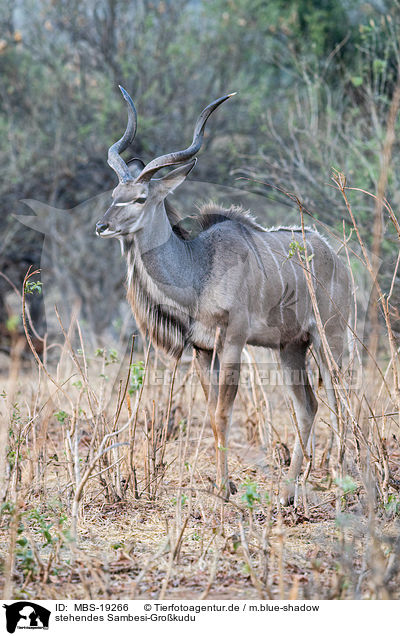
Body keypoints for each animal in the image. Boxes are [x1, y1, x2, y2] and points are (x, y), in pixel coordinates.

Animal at [96, 87, 350, 502]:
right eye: (116, 191)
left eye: (140, 198)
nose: (102, 226)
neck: (199, 268)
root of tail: (335, 255)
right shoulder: (203, 350)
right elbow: (212, 411)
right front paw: (224, 484)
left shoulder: (232, 343)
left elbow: (221, 412)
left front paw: (224, 488)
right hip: (291, 347)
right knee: (308, 406)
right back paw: (287, 493)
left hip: (331, 340)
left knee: (340, 399)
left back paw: (346, 480)